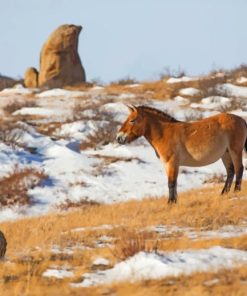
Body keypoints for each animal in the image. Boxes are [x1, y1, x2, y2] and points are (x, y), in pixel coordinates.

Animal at [116, 104, 247, 204]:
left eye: (132, 120)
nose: (119, 138)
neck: (164, 133)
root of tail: (241, 119)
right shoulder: (168, 165)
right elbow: (174, 183)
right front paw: (174, 201)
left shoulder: (172, 162)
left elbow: (171, 183)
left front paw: (170, 203)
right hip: (225, 154)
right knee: (230, 171)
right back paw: (223, 194)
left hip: (235, 151)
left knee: (239, 169)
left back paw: (236, 192)